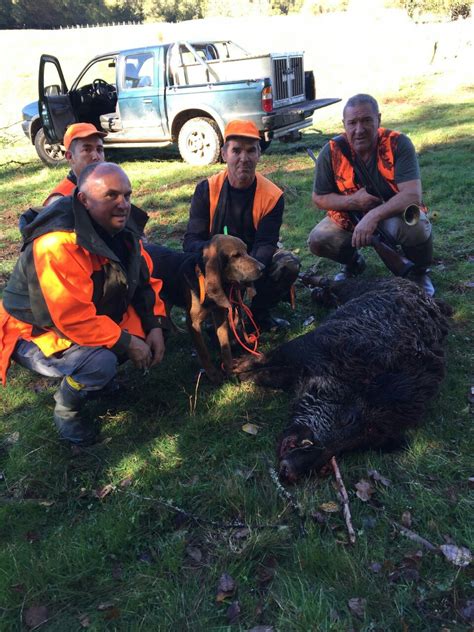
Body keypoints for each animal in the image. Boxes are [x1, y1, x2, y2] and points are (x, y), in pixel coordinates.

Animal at [146, 232, 262, 380]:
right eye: (236, 256)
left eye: (247, 250)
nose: (263, 268)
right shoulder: (193, 323)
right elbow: (204, 353)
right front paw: (213, 375)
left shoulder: (220, 315)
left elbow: (225, 346)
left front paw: (229, 369)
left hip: (168, 297)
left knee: (166, 312)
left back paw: (177, 331)